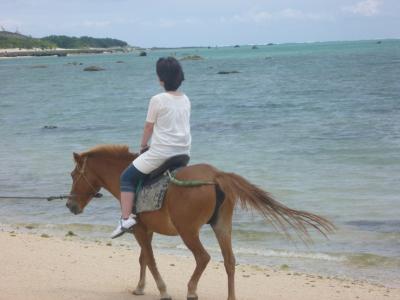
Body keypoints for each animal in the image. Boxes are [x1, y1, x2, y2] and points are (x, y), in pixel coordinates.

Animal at [66, 144, 334, 298]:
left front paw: (162, 290)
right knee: (229, 261)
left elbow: (150, 260)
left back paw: (192, 290)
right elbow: (143, 259)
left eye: (73, 174)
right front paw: (141, 287)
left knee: (203, 258)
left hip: (188, 231)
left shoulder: (141, 230)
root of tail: (216, 175)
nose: (70, 205)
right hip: (222, 226)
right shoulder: (145, 230)